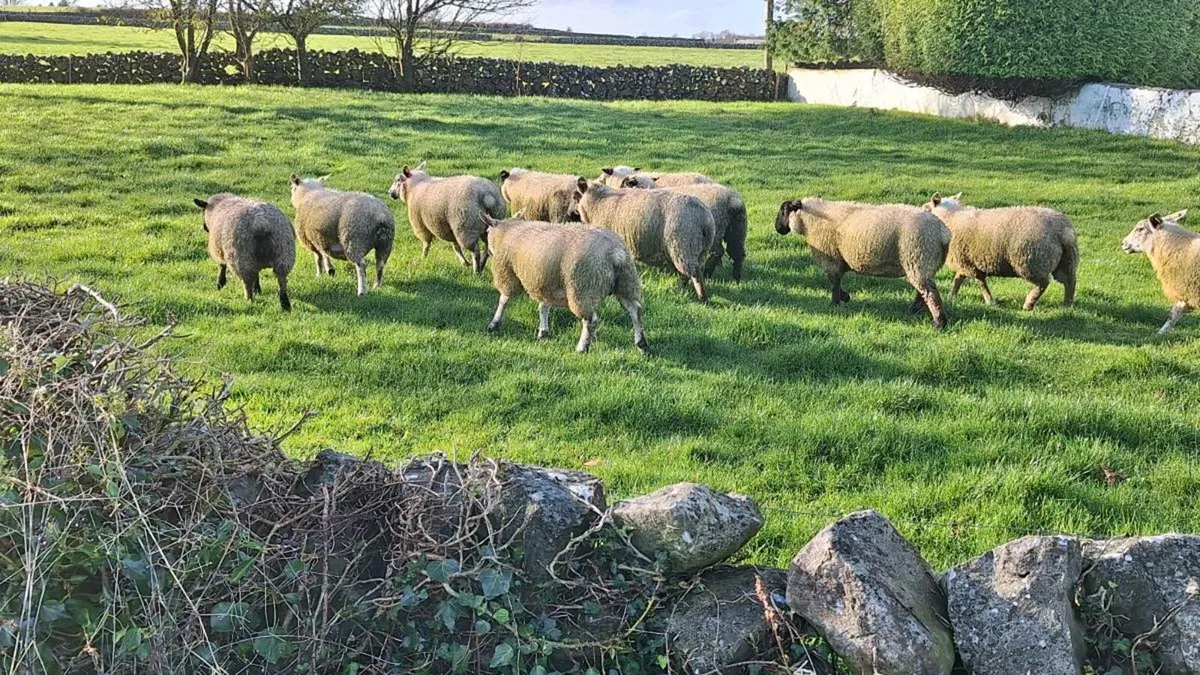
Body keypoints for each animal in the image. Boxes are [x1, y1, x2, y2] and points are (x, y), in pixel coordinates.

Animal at [482, 212, 648, 354]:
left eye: (487, 231)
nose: (488, 252)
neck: (507, 232)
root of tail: (615, 252)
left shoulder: (507, 273)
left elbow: (503, 300)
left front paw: (494, 324)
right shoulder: (545, 281)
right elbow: (543, 307)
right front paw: (543, 331)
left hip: (582, 287)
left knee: (591, 320)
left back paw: (582, 347)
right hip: (626, 282)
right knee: (635, 310)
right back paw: (641, 343)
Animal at [571, 178, 716, 302]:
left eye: (575, 195)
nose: (571, 214)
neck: (597, 202)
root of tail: (705, 218)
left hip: (683, 246)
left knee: (693, 273)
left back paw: (698, 296)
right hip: (699, 250)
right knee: (694, 271)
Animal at [775, 197, 951, 329]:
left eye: (784, 211)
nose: (777, 228)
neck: (810, 220)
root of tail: (942, 232)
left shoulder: (832, 259)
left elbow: (834, 281)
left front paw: (836, 302)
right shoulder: (837, 259)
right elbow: (836, 280)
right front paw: (843, 298)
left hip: (918, 257)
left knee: (930, 292)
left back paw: (939, 322)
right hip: (923, 263)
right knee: (923, 290)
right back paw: (914, 310)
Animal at [923, 193, 1078, 310]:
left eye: (926, 208)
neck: (952, 219)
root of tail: (1062, 230)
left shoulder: (969, 264)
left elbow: (980, 282)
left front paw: (990, 301)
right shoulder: (966, 262)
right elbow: (958, 279)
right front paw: (951, 296)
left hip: (1031, 261)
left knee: (1043, 284)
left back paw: (1029, 304)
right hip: (1066, 261)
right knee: (1070, 282)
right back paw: (1067, 305)